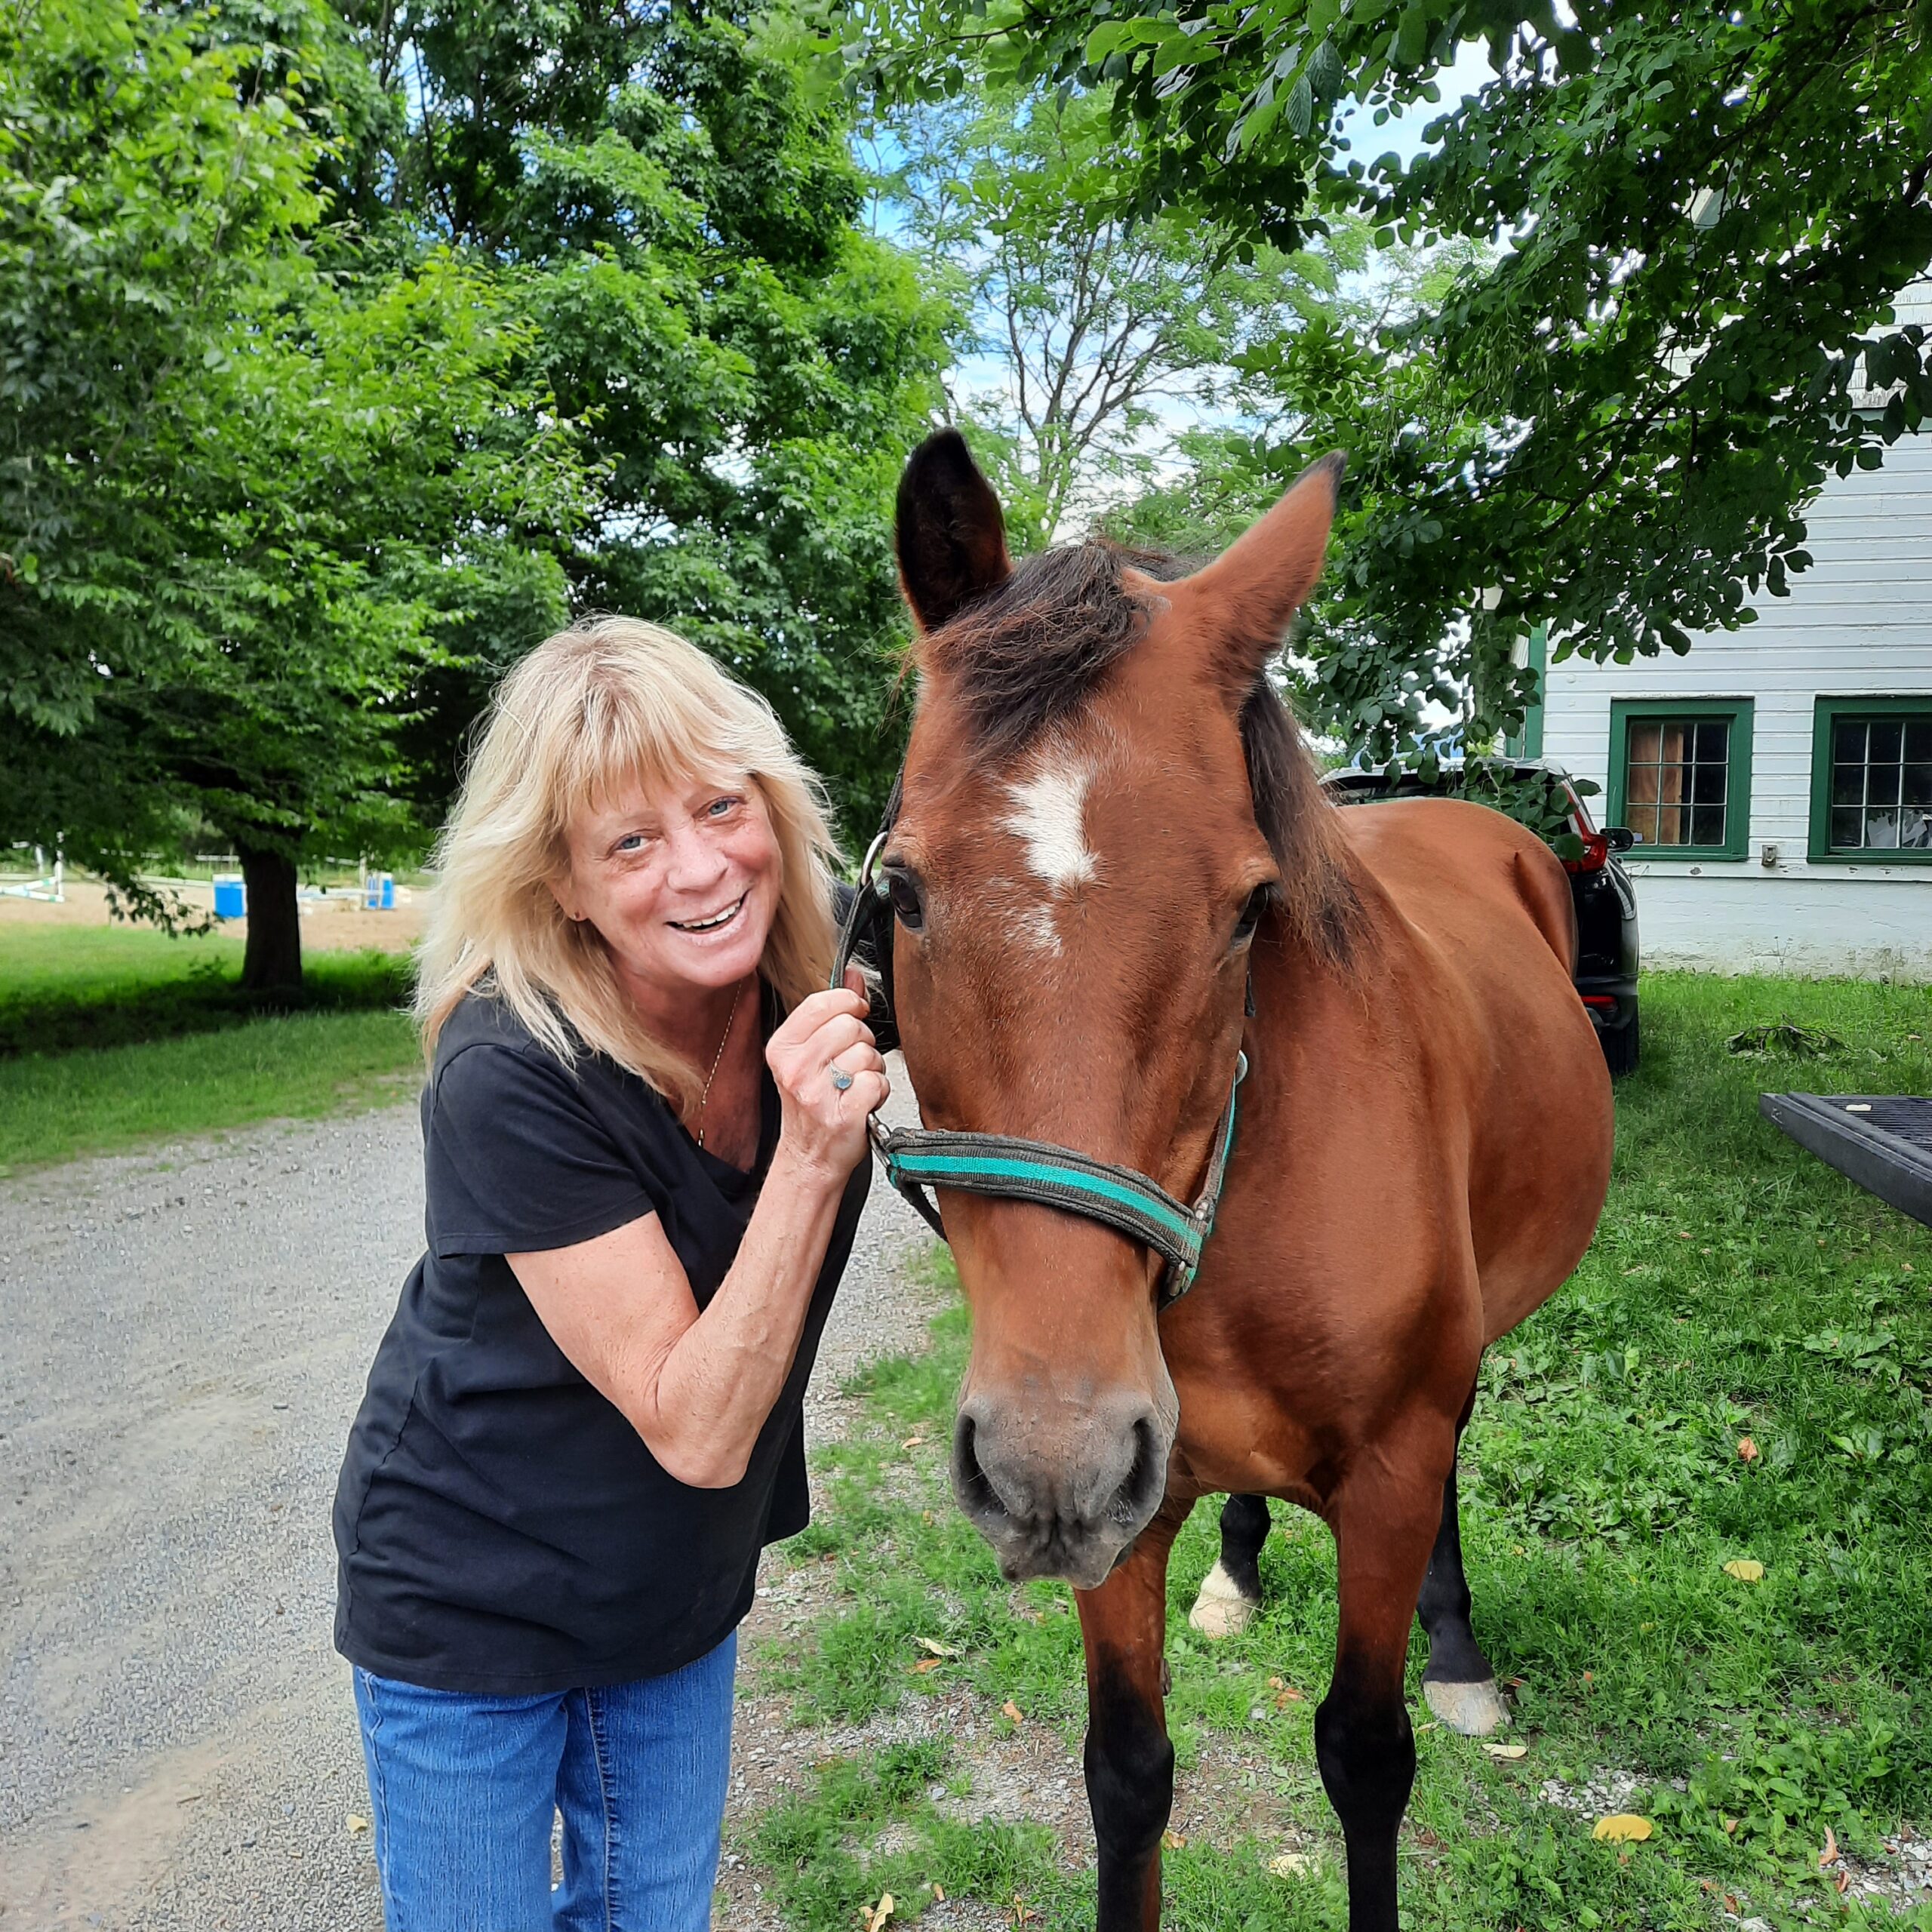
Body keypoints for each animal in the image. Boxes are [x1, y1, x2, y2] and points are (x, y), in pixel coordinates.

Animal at [881, 435, 1615, 1932]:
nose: (1048, 1462)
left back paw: (1460, 1654)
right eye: (907, 892)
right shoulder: (1126, 1516)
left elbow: (1366, 1758)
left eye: (1245, 911)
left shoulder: (1387, 1478)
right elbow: (1126, 1776)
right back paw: (1234, 1569)